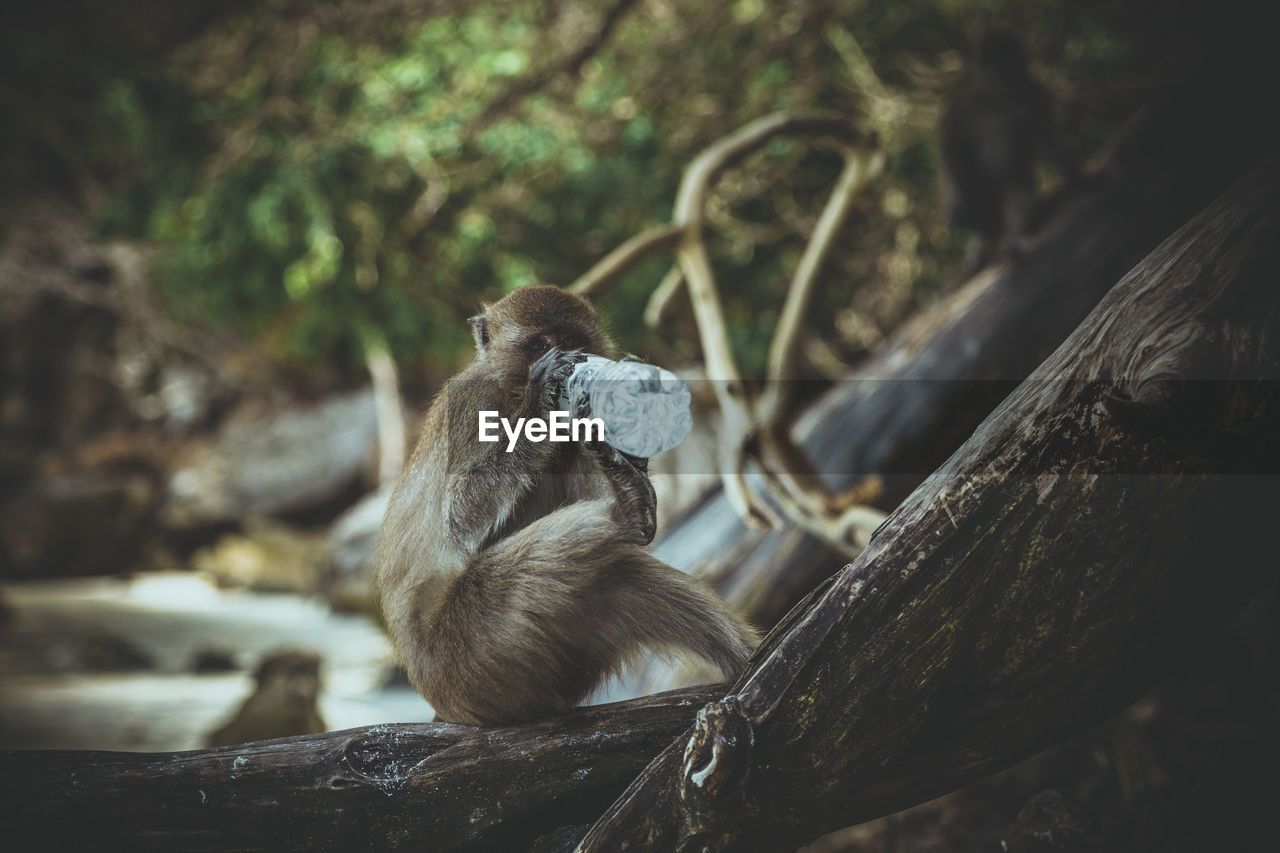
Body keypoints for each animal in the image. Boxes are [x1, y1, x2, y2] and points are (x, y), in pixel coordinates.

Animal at [378, 281, 757, 722]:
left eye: (572, 340)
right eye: (540, 344)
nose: (566, 357)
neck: (512, 388)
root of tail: (444, 704)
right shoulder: (473, 404)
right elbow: (459, 517)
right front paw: (542, 398)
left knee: (620, 572)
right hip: (466, 657)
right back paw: (627, 511)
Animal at [936, 31, 1075, 267]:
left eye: (1010, 61)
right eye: (997, 62)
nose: (1005, 72)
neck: (997, 98)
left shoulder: (1032, 93)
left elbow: (1047, 136)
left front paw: (1077, 177)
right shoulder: (964, 97)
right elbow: (947, 140)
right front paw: (958, 202)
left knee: (1017, 193)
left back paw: (1009, 238)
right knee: (965, 171)